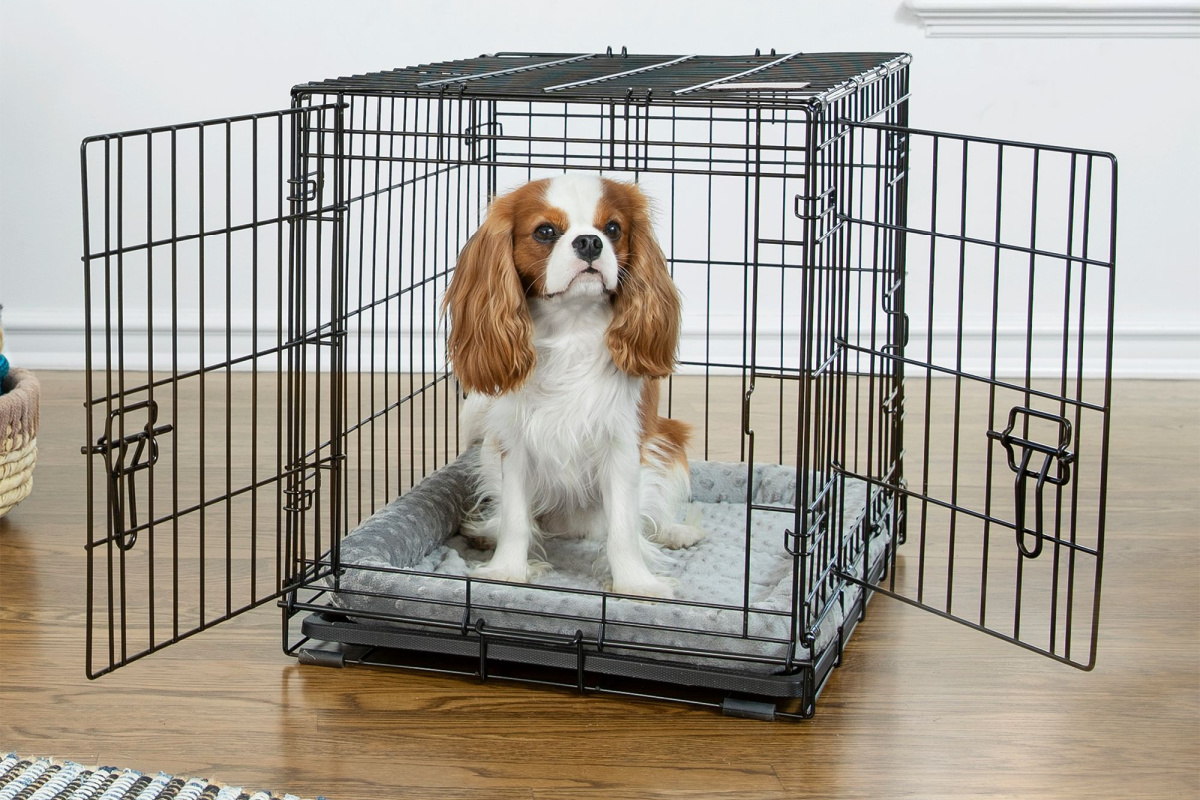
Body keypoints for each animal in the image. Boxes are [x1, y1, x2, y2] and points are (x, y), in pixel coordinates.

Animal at [441, 176, 700, 599]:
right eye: (546, 232)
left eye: (613, 228)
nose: (590, 241)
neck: (572, 327)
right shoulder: (514, 444)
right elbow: (515, 518)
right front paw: (507, 571)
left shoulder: (624, 443)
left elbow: (624, 528)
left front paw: (635, 583)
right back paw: (486, 532)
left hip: (669, 442)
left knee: (650, 516)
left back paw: (675, 532)